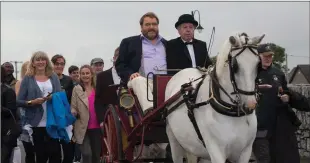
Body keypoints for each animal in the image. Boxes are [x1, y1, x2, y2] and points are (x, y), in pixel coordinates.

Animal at [165, 32, 264, 162]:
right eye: (235, 66)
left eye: (258, 65)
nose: (250, 104)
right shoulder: (216, 151)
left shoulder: (245, 152)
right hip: (174, 139)